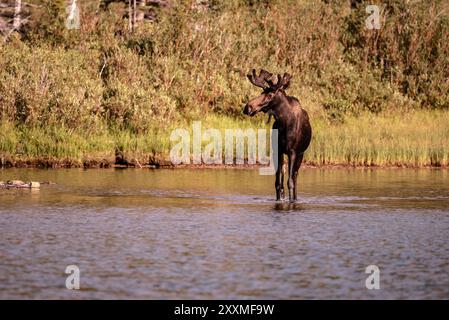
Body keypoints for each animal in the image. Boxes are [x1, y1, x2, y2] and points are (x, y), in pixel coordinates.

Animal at [242, 69, 312, 201]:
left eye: (270, 95)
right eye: (262, 92)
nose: (248, 107)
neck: (284, 122)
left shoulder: (293, 152)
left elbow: (290, 182)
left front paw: (291, 200)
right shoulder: (278, 150)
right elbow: (278, 183)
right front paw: (279, 199)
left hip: (301, 153)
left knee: (295, 176)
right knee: (283, 174)